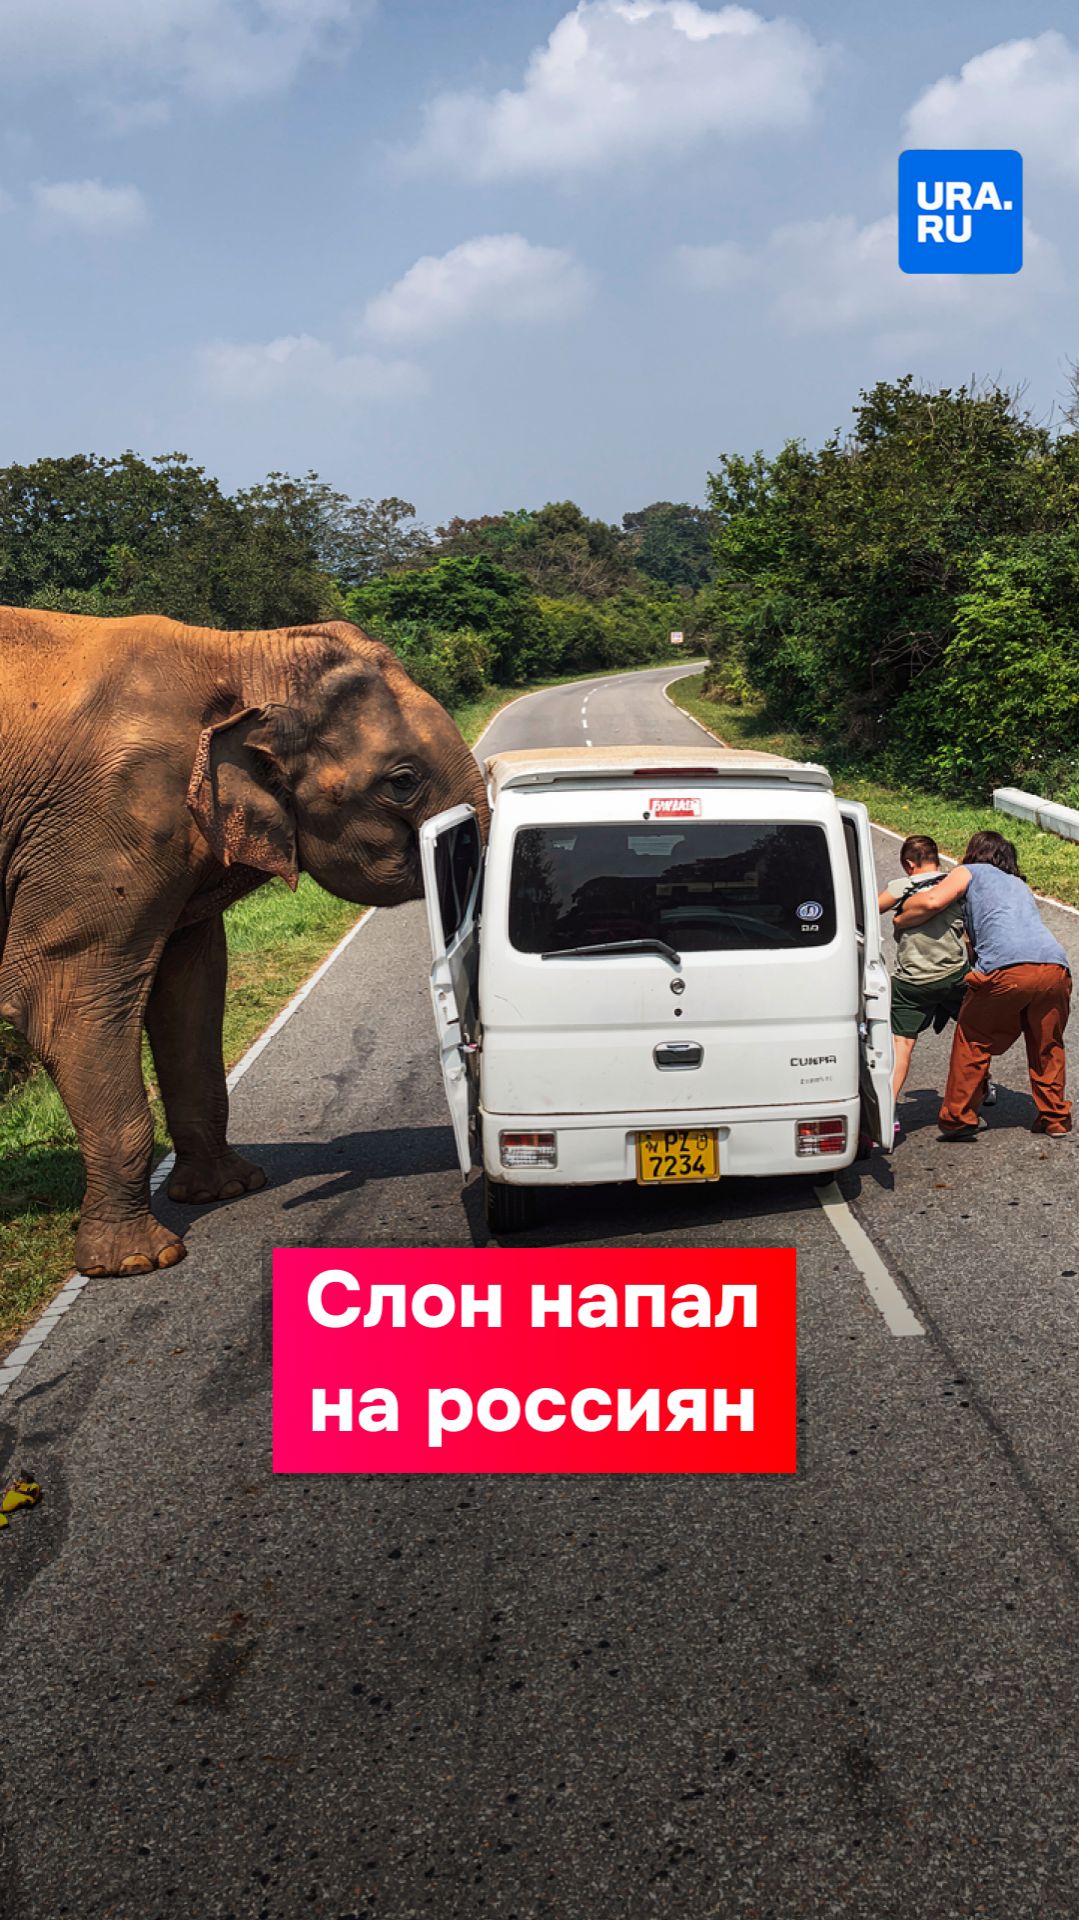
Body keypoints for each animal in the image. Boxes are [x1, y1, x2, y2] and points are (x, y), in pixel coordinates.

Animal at [0, 607, 489, 1277]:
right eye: (403, 781)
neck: (238, 655)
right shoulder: (105, 822)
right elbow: (64, 995)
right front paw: (138, 1262)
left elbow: (192, 989)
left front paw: (228, 1189)